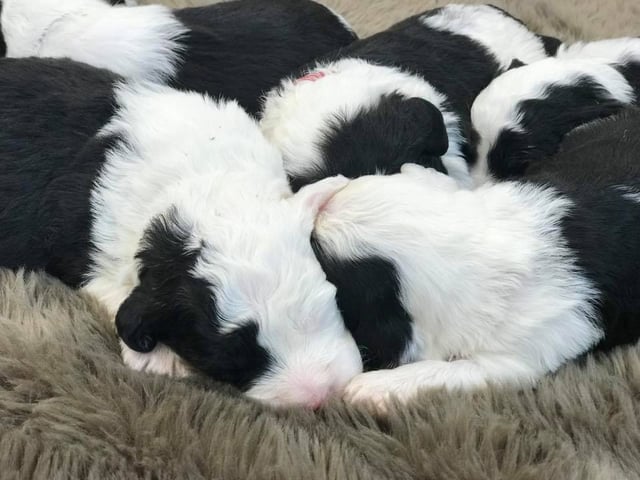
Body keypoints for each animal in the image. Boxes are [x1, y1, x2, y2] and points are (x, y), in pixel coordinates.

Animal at [0, 58, 360, 406]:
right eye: (226, 358)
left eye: (330, 299)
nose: (320, 396)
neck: (206, 183)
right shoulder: (91, 256)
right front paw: (159, 357)